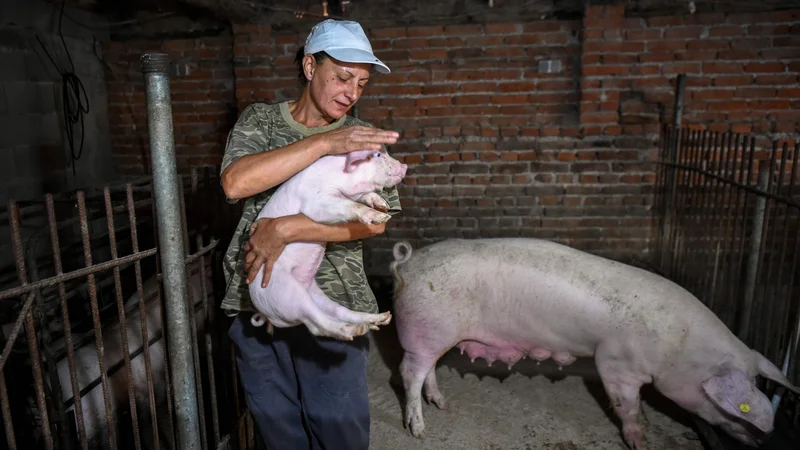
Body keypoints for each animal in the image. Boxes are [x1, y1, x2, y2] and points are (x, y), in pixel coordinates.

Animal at [248, 149, 410, 342]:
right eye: (378, 155)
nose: (404, 165)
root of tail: (265, 314)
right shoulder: (315, 203)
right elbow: (347, 204)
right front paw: (382, 217)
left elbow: (364, 196)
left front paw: (382, 205)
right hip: (285, 292)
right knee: (317, 324)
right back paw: (355, 330)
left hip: (315, 294)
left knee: (338, 311)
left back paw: (380, 319)